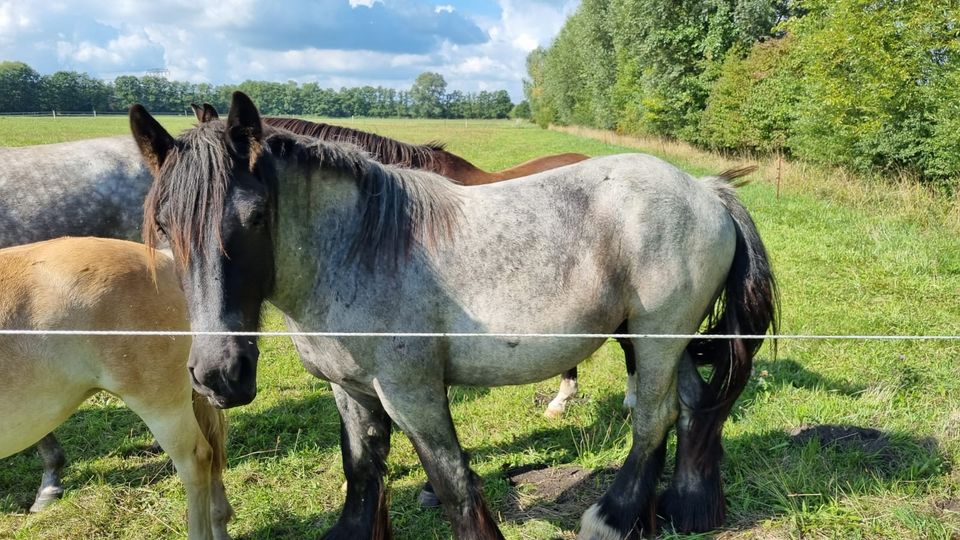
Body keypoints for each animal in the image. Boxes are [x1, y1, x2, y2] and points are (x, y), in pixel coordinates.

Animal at [131, 94, 780, 540]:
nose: (220, 375)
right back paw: (687, 508)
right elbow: (361, 473)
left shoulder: (413, 393)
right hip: (660, 341)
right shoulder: (349, 391)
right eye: (162, 225)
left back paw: (612, 520)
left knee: (653, 419)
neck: (357, 248)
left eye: (257, 215)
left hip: (655, 339)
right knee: (692, 408)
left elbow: (453, 483)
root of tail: (706, 190)